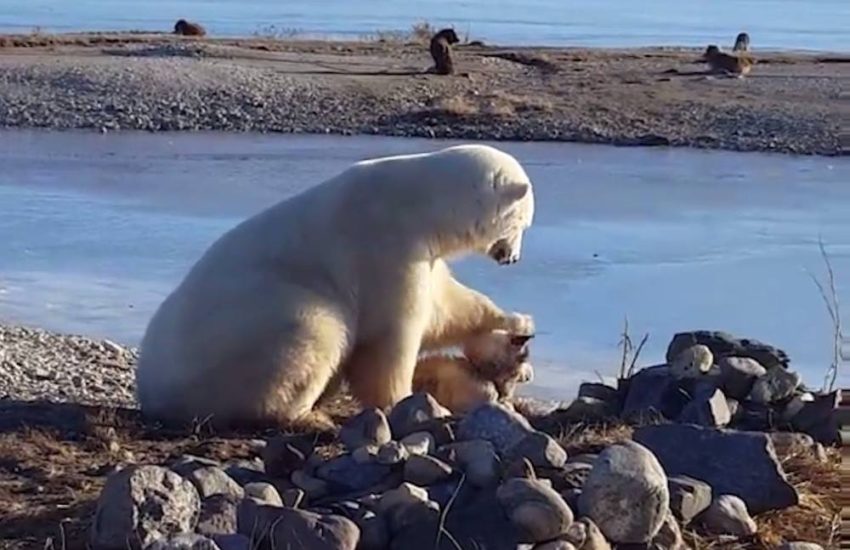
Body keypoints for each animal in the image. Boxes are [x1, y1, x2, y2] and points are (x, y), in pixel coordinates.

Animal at [135, 144, 535, 429]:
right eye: (525, 223)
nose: (513, 259)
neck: (421, 203)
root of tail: (151, 390)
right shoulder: (385, 245)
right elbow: (391, 334)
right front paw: (405, 401)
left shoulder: (422, 253)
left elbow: (446, 307)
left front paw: (515, 320)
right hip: (245, 330)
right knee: (315, 330)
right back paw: (309, 416)